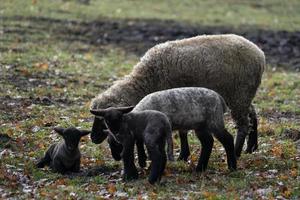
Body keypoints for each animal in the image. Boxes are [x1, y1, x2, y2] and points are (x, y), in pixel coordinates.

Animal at [91, 33, 264, 158]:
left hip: (239, 94)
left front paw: (182, 154)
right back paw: (251, 147)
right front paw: (184, 154)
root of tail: (259, 54)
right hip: (242, 95)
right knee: (252, 116)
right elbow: (182, 130)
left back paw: (237, 152)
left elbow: (181, 131)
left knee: (243, 125)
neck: (147, 80)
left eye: (102, 121)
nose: (93, 138)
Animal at [91, 87, 237, 173]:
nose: (116, 158)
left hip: (214, 121)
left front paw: (147, 164)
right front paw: (143, 161)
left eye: (117, 142)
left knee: (228, 139)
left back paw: (232, 167)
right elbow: (140, 141)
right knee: (208, 142)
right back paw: (200, 168)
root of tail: (220, 98)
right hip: (201, 125)